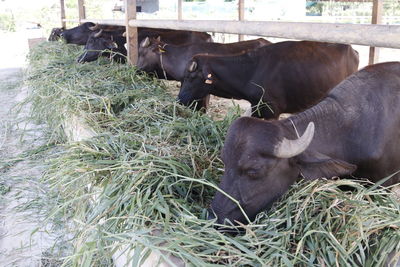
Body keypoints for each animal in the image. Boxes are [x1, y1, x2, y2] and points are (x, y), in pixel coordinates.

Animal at [178, 40, 360, 118]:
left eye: (190, 77)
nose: (179, 99)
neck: (251, 71)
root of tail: (351, 49)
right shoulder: (257, 107)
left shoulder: (272, 110)